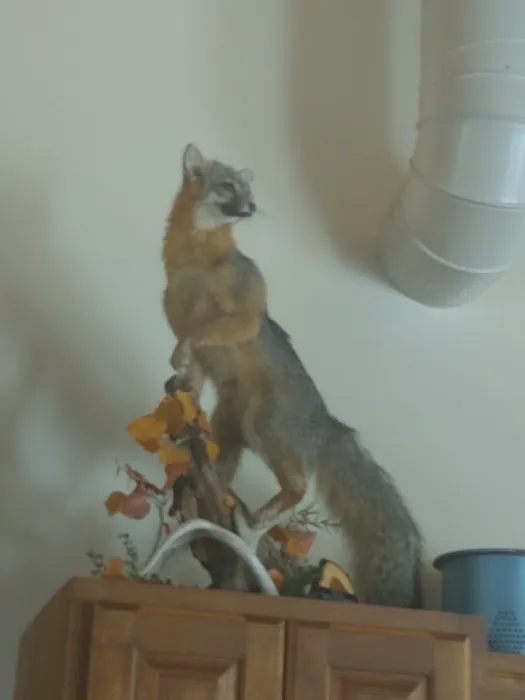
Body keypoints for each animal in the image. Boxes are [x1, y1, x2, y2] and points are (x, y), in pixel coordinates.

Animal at [162, 143, 423, 607]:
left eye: (247, 191)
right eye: (228, 186)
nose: (251, 208)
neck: (195, 261)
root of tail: (327, 419)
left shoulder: (245, 315)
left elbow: (203, 333)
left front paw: (184, 354)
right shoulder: (183, 326)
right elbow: (190, 369)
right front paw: (182, 389)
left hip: (265, 428)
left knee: (298, 486)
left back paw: (251, 524)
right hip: (230, 426)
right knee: (220, 475)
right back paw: (217, 503)